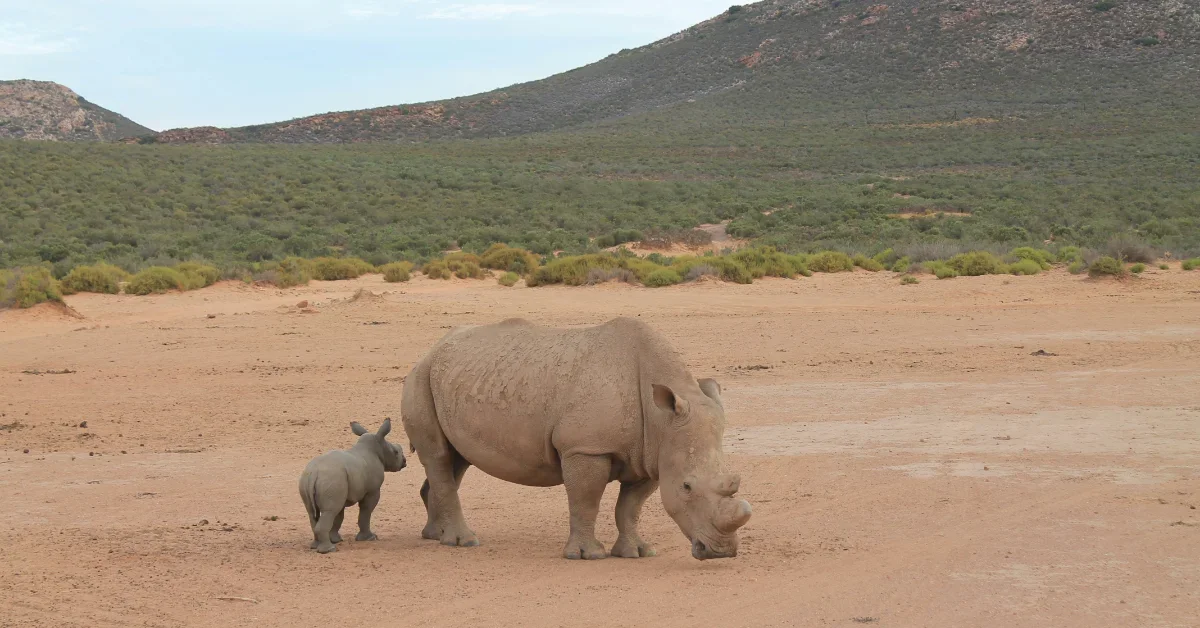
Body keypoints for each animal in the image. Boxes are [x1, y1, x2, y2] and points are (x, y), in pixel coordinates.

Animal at [298, 419, 407, 554]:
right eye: (396, 452)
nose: (404, 461)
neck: (378, 447)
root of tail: (314, 473)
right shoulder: (372, 491)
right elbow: (366, 512)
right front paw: (370, 538)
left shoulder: (341, 492)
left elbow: (339, 517)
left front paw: (336, 539)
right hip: (331, 479)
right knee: (329, 511)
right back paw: (329, 550)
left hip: (312, 480)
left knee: (313, 512)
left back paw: (316, 546)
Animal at [400, 317, 752, 560]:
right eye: (687, 487)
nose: (720, 552)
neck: (662, 420)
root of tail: (431, 349)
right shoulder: (586, 448)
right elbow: (586, 500)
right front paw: (587, 555)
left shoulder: (651, 455)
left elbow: (630, 507)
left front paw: (638, 552)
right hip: (420, 376)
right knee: (439, 457)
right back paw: (464, 541)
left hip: (449, 378)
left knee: (454, 462)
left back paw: (434, 535)